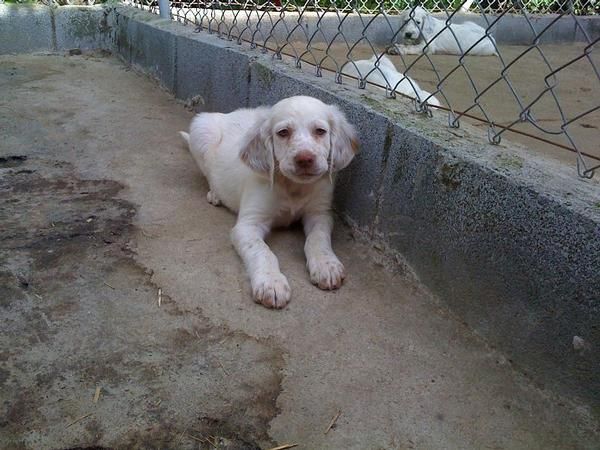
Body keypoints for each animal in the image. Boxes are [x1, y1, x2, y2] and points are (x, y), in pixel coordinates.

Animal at [178, 95, 356, 310]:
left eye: (320, 131)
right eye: (283, 132)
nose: (305, 159)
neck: (293, 187)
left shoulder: (320, 213)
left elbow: (318, 238)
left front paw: (326, 265)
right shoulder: (248, 225)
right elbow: (262, 251)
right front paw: (271, 283)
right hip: (200, 128)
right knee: (208, 172)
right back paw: (215, 193)